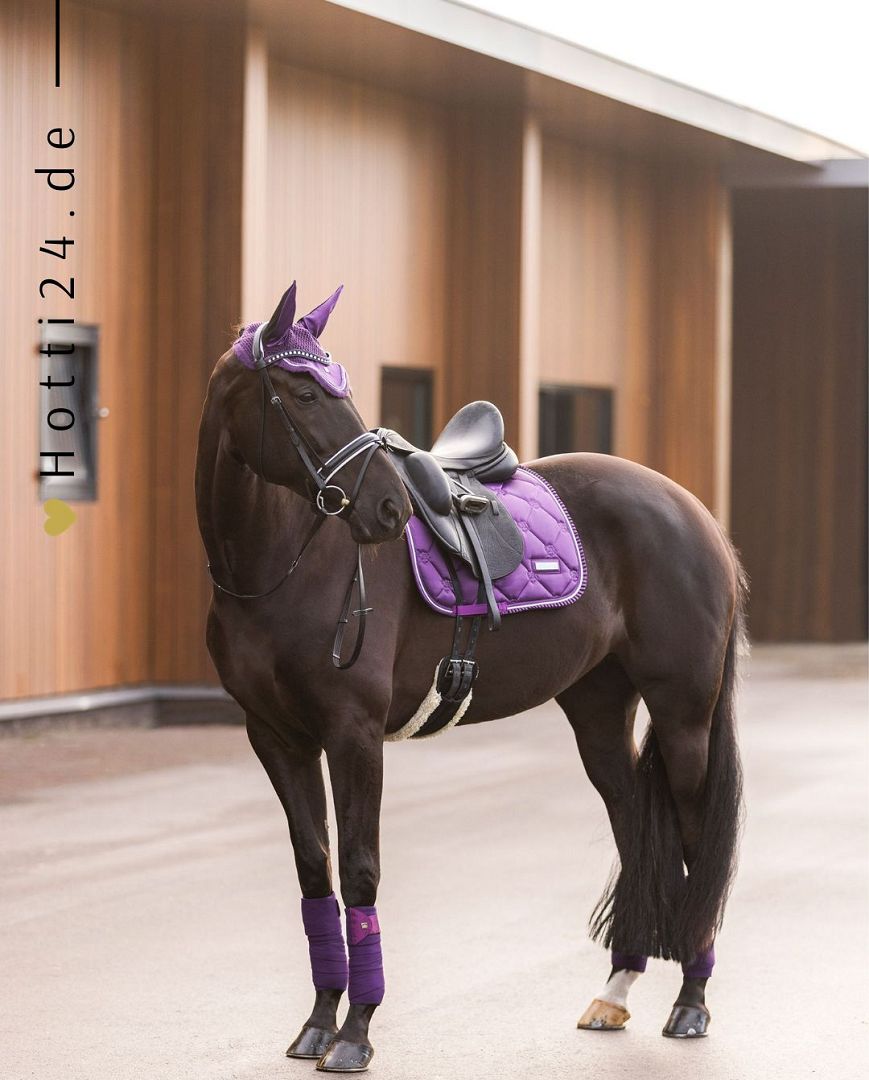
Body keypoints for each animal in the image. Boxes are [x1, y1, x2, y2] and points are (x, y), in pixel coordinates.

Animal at [193, 285, 742, 1071]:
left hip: (684, 715)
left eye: (339, 390)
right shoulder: (276, 737)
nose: (388, 508)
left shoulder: (354, 735)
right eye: (302, 392)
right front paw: (319, 1022)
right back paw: (616, 989)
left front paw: (356, 1033)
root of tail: (693, 513)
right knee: (636, 829)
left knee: (697, 841)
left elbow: (360, 869)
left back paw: (691, 1001)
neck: (283, 566)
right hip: (600, 712)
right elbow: (315, 871)